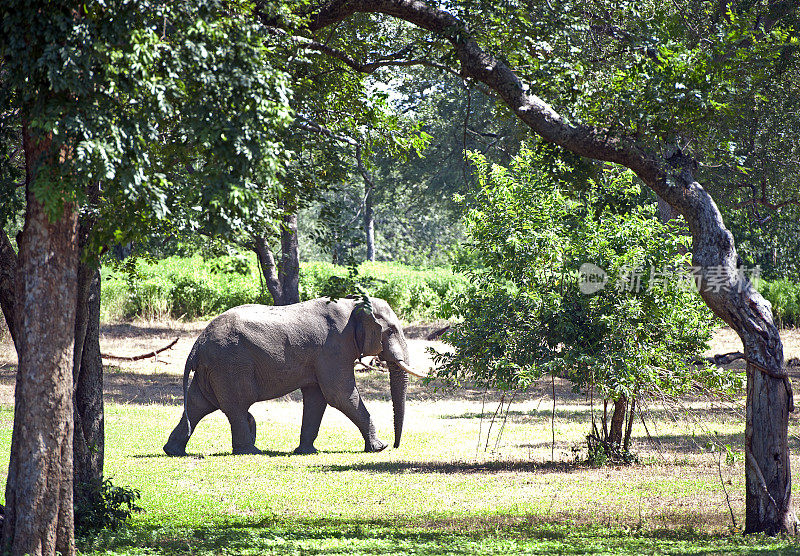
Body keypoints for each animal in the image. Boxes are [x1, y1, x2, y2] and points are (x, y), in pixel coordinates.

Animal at [164, 296, 424, 456]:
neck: (355, 303)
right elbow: (339, 394)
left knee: (198, 404)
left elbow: (317, 398)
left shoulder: (324, 354)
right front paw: (379, 448)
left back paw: (173, 451)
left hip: (214, 368)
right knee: (236, 406)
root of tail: (197, 344)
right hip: (229, 365)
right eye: (390, 331)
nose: (396, 446)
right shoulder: (334, 346)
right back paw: (251, 452)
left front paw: (307, 452)